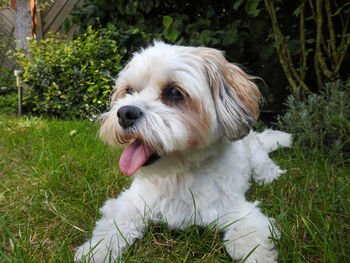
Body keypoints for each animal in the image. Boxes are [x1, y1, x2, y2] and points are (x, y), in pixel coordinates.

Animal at [75, 42, 292, 262]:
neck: (179, 174)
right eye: (129, 90)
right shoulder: (130, 204)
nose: (125, 113)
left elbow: (252, 243)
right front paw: (96, 252)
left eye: (174, 92)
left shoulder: (241, 213)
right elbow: (110, 230)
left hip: (258, 158)